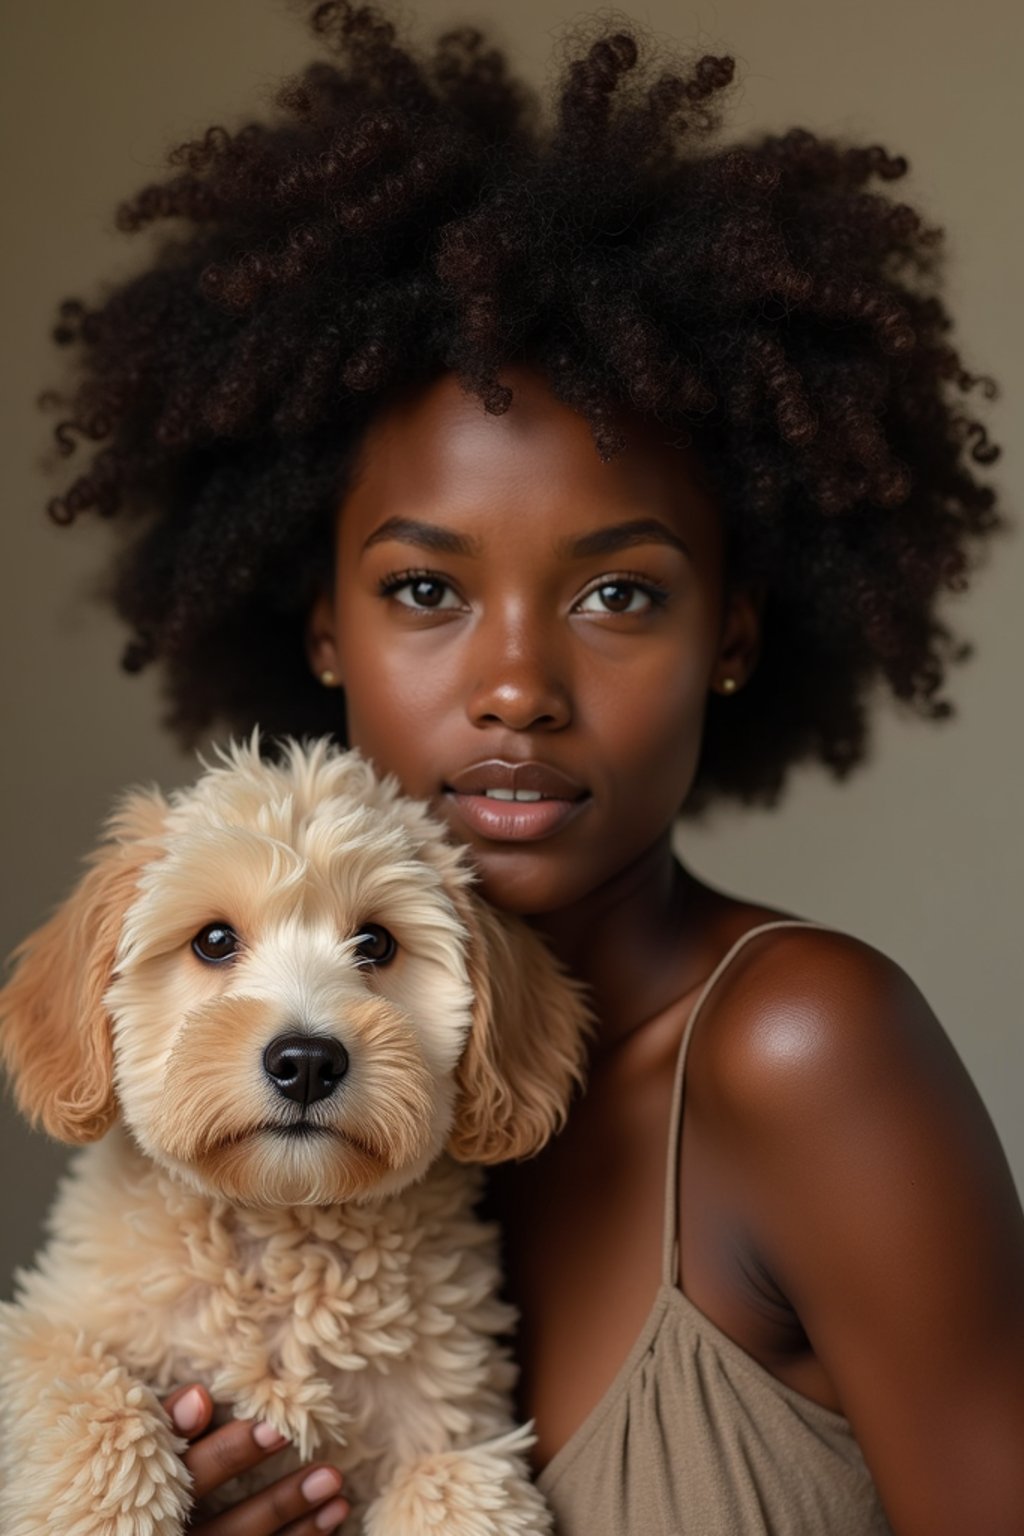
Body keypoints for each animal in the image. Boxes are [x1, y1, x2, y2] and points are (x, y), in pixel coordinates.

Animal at [2, 737, 592, 1529]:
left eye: (376, 942)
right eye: (214, 940)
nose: (307, 1062)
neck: (281, 1230)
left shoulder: (463, 1426)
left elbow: (452, 1486)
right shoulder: (43, 1324)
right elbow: (88, 1395)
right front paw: (103, 1508)